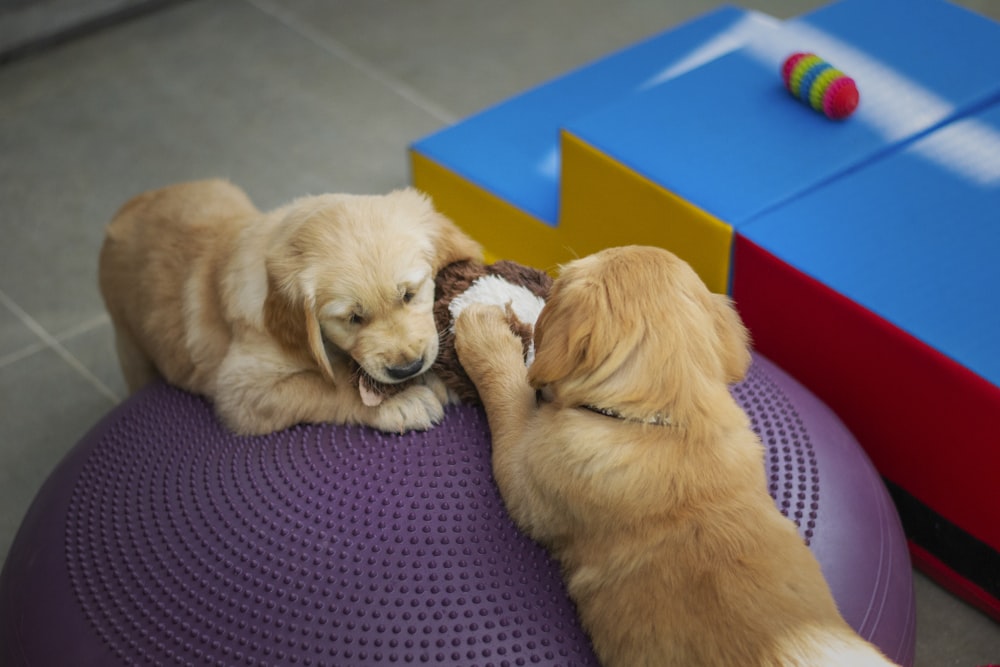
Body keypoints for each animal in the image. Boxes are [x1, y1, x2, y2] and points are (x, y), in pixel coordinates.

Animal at [99, 180, 482, 436]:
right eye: (352, 318)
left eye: (409, 295)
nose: (408, 368)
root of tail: (125, 209)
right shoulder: (240, 390)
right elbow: (326, 386)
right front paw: (401, 402)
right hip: (130, 347)